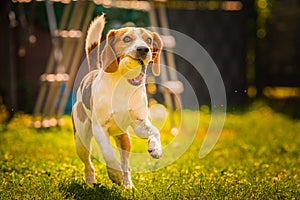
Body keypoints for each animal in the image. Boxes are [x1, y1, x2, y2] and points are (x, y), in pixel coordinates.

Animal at [72, 14, 163, 188]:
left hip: (124, 138)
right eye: (126, 38)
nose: (143, 49)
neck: (122, 85)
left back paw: (128, 184)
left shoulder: (139, 124)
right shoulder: (99, 128)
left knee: (126, 163)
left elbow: (155, 131)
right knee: (88, 163)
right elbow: (108, 152)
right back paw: (90, 182)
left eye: (148, 40)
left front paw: (156, 148)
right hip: (81, 140)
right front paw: (114, 173)